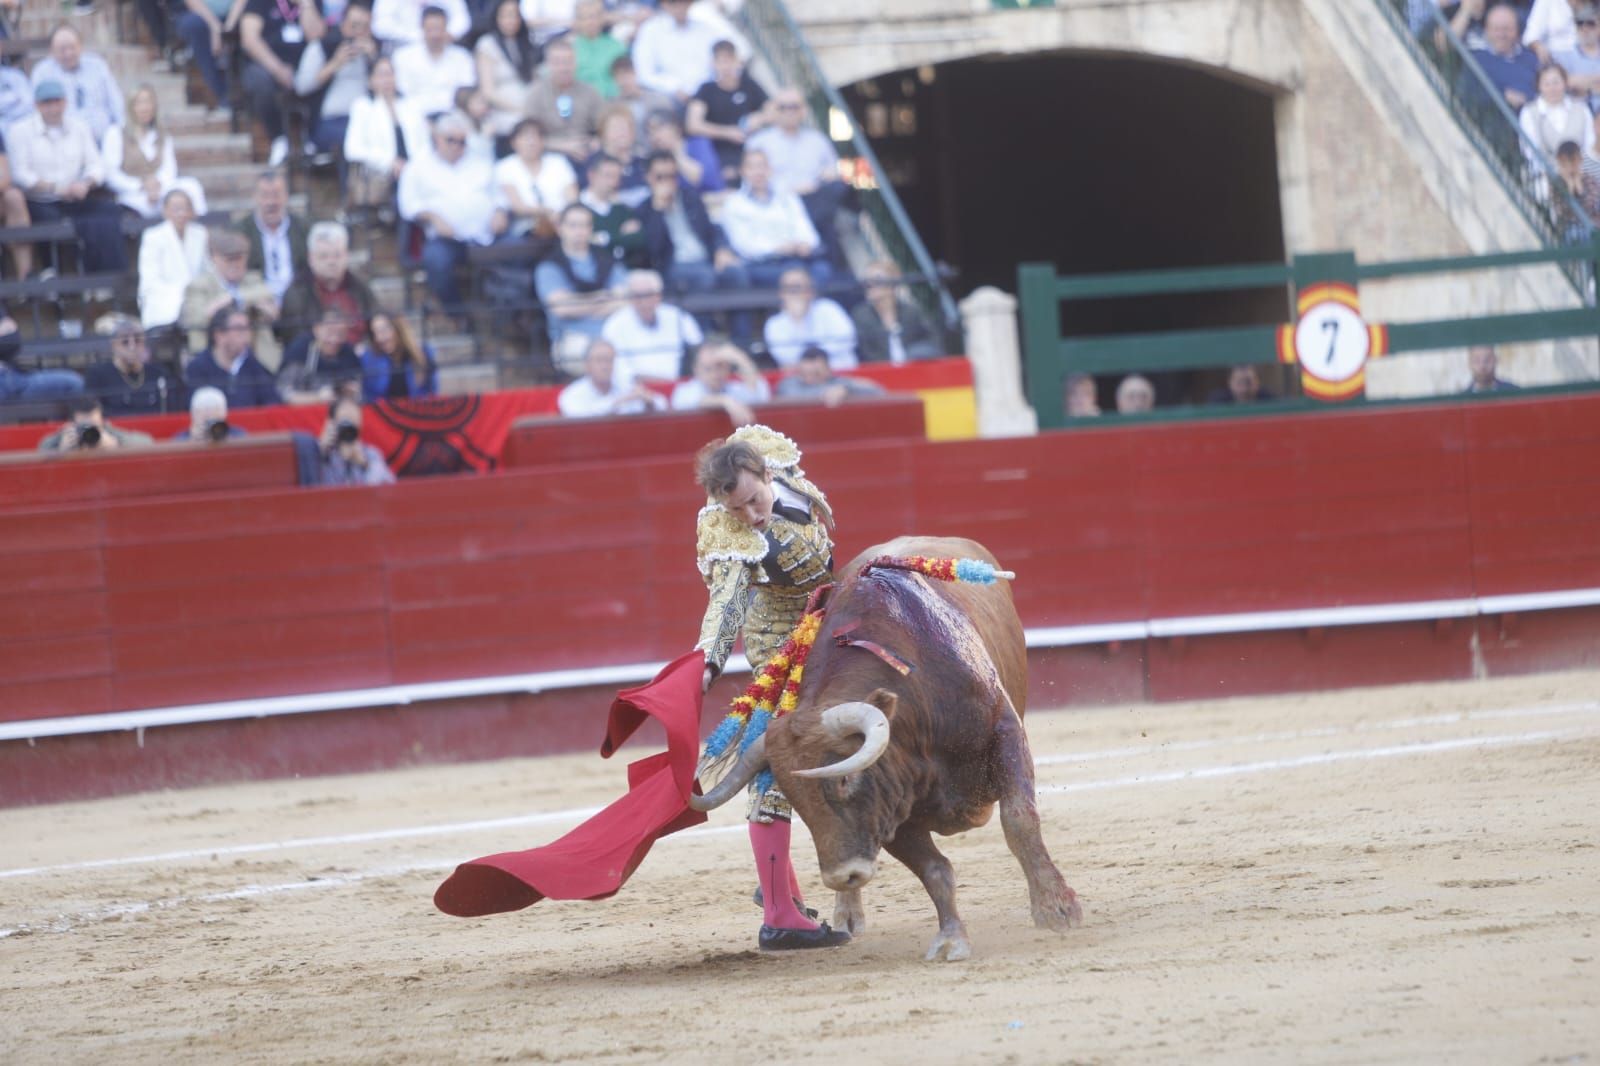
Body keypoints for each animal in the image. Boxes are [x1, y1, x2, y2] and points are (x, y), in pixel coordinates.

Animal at [688, 534, 1075, 960]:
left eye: (845, 779)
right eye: (795, 797)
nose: (842, 875)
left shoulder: (1005, 734)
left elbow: (1020, 821)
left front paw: (1056, 909)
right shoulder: (891, 805)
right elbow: (934, 870)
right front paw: (951, 938)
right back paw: (844, 917)